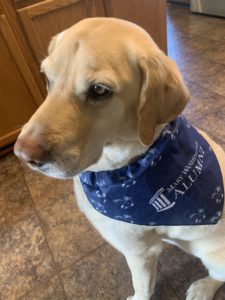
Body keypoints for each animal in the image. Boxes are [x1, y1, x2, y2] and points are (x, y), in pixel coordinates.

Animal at [14, 17, 225, 298]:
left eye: (99, 90)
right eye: (47, 78)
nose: (23, 153)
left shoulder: (139, 252)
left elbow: (142, 288)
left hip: (213, 257)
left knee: (217, 276)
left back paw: (203, 288)